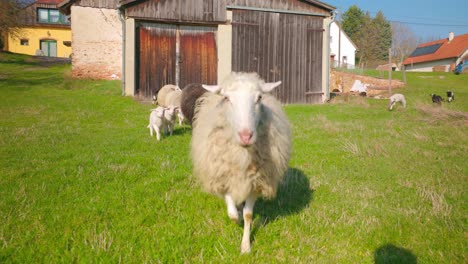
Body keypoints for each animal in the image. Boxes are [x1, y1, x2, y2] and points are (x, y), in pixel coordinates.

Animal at [188, 72, 290, 254]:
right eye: (227, 98)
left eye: (259, 98)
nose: (246, 136)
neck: (242, 155)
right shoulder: (224, 176)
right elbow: (232, 214)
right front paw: (237, 218)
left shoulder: (256, 182)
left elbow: (249, 215)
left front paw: (245, 246)